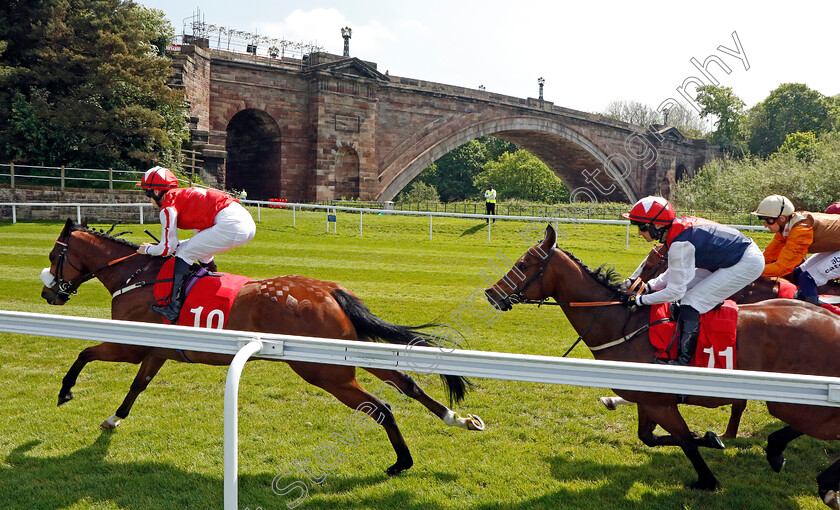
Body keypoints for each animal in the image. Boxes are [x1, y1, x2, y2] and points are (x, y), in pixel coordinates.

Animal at [41, 218, 486, 474]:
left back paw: (402, 462)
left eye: (52, 255)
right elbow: (138, 385)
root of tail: (330, 290)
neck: (137, 276)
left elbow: (84, 353)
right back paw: (457, 419)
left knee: (381, 406)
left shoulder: (132, 343)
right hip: (348, 350)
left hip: (325, 371)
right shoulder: (157, 351)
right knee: (405, 383)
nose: (49, 293)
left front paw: (65, 391)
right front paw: (113, 419)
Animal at [486, 224, 840, 506]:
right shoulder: (648, 400)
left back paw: (808, 472)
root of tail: (832, 321)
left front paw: (707, 478)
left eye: (522, 264)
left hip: (792, 401)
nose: (491, 294)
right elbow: (651, 437)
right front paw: (710, 438)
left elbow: (684, 440)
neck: (623, 324)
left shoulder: (661, 402)